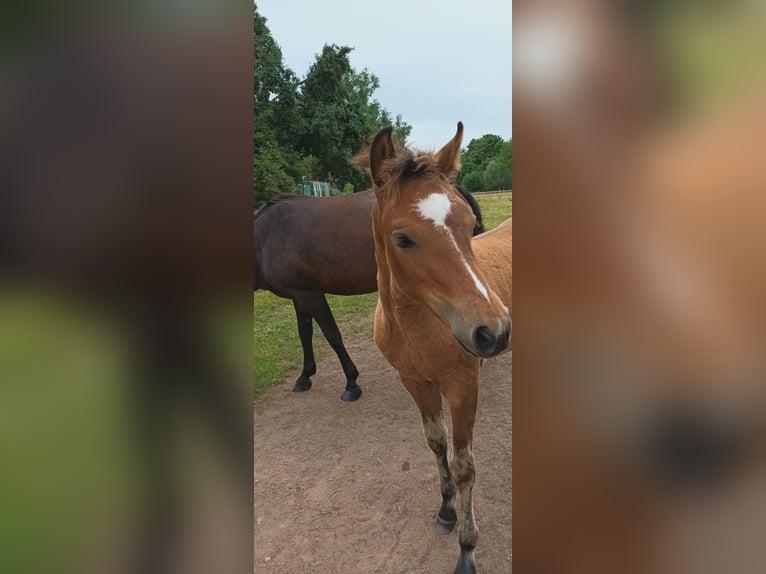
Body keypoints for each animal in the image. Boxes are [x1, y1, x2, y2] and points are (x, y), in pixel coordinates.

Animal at [255, 187, 484, 402]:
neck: (268, 236)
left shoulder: (311, 295)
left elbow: (332, 335)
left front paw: (351, 383)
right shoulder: (299, 296)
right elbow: (304, 334)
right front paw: (304, 377)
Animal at [368, 124, 512, 572]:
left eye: (470, 222)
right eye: (402, 238)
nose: (495, 331)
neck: (417, 329)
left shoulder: (463, 386)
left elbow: (465, 466)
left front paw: (467, 550)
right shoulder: (415, 383)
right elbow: (436, 442)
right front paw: (447, 510)